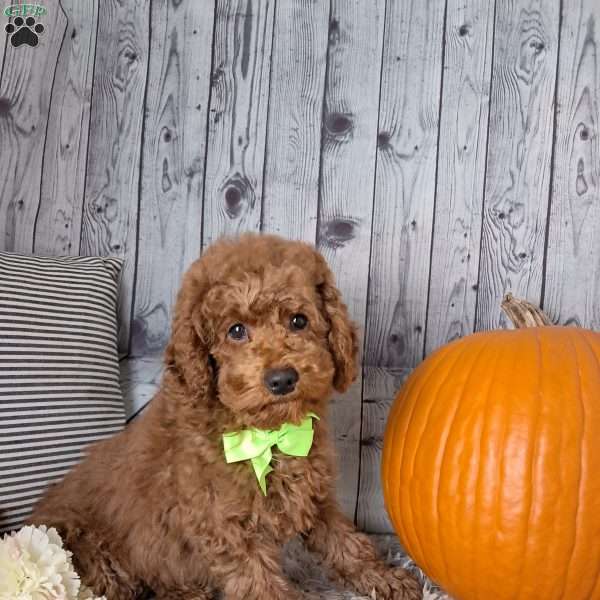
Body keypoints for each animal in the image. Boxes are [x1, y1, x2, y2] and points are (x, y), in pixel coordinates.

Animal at [29, 236, 422, 600]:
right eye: (236, 330)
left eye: (299, 321)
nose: (282, 379)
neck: (267, 434)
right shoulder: (227, 528)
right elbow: (262, 585)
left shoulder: (315, 498)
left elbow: (346, 543)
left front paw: (386, 578)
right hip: (98, 557)